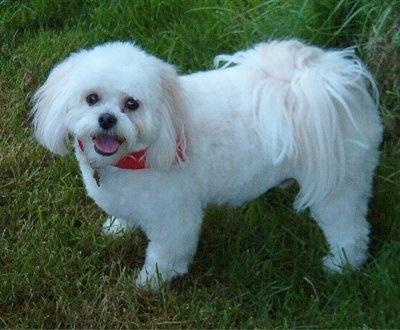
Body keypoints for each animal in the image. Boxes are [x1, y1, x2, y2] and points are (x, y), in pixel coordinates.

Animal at [31, 40, 382, 288]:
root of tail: (336, 84)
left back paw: (341, 265)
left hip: (340, 184)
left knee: (350, 228)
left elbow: (167, 254)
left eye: (132, 104)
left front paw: (150, 282)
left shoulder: (175, 215)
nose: (106, 119)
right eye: (91, 98)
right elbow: (125, 216)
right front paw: (118, 228)